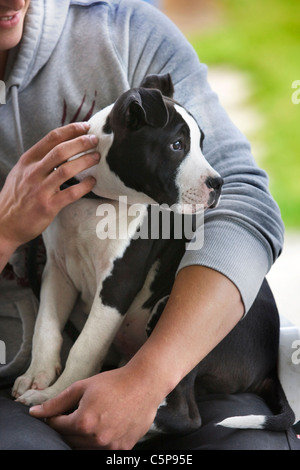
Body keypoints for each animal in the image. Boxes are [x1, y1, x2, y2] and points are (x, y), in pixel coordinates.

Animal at [11, 74, 292, 436]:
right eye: (177, 145)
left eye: (201, 144)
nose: (218, 184)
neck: (96, 200)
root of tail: (268, 367)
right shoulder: (58, 271)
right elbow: (46, 327)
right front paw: (37, 377)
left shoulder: (118, 282)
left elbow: (85, 347)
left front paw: (56, 397)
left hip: (182, 328)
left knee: (184, 414)